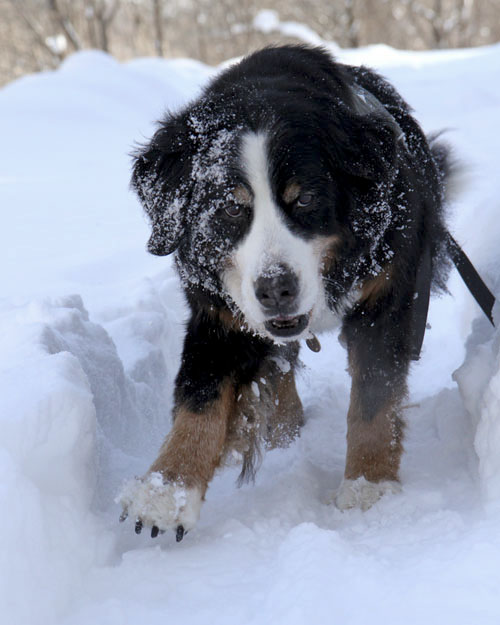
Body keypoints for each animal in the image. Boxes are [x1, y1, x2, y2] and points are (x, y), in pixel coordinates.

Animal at [118, 45, 454, 540]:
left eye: (306, 199)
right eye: (231, 207)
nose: (276, 289)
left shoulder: (387, 297)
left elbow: (374, 399)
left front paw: (368, 487)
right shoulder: (220, 315)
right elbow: (200, 397)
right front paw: (166, 491)